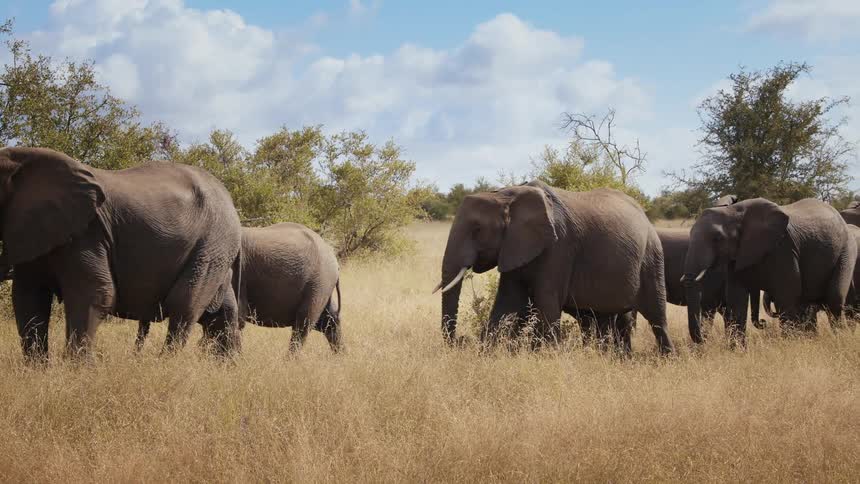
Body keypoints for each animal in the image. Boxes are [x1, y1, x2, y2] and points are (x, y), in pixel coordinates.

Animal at [0, 147, 243, 360]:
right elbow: (28, 297)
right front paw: (38, 370)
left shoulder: (87, 233)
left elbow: (93, 293)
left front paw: (79, 371)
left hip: (213, 243)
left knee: (185, 304)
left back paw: (165, 363)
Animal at [136, 223, 343, 353]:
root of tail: (332, 256)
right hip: (321, 286)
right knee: (330, 321)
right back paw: (340, 360)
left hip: (318, 284)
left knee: (304, 325)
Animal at [434, 180, 674, 355]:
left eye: (476, 229)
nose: (460, 340)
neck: (506, 194)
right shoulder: (515, 246)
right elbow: (507, 304)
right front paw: (486, 354)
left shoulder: (558, 247)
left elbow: (546, 303)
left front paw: (545, 357)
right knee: (616, 318)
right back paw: (618, 359)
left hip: (652, 256)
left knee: (656, 316)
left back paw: (666, 359)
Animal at [682, 197, 857, 345]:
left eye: (717, 238)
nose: (763, 323)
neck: (734, 211)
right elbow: (736, 298)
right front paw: (738, 352)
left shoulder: (783, 249)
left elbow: (786, 296)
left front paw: (790, 346)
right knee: (808, 305)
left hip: (846, 251)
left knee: (834, 300)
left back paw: (840, 339)